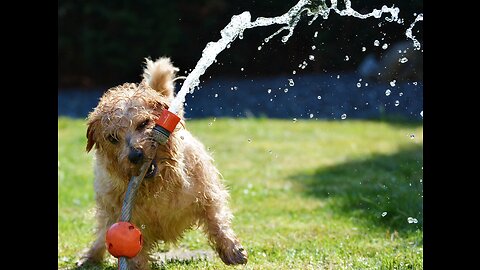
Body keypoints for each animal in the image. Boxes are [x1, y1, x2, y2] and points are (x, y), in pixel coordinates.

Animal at [78, 57, 248, 268]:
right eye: (112, 138)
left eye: (143, 123)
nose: (135, 155)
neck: (157, 186)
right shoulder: (124, 217)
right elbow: (134, 251)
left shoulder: (207, 193)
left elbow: (216, 220)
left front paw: (232, 249)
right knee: (102, 234)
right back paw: (90, 256)